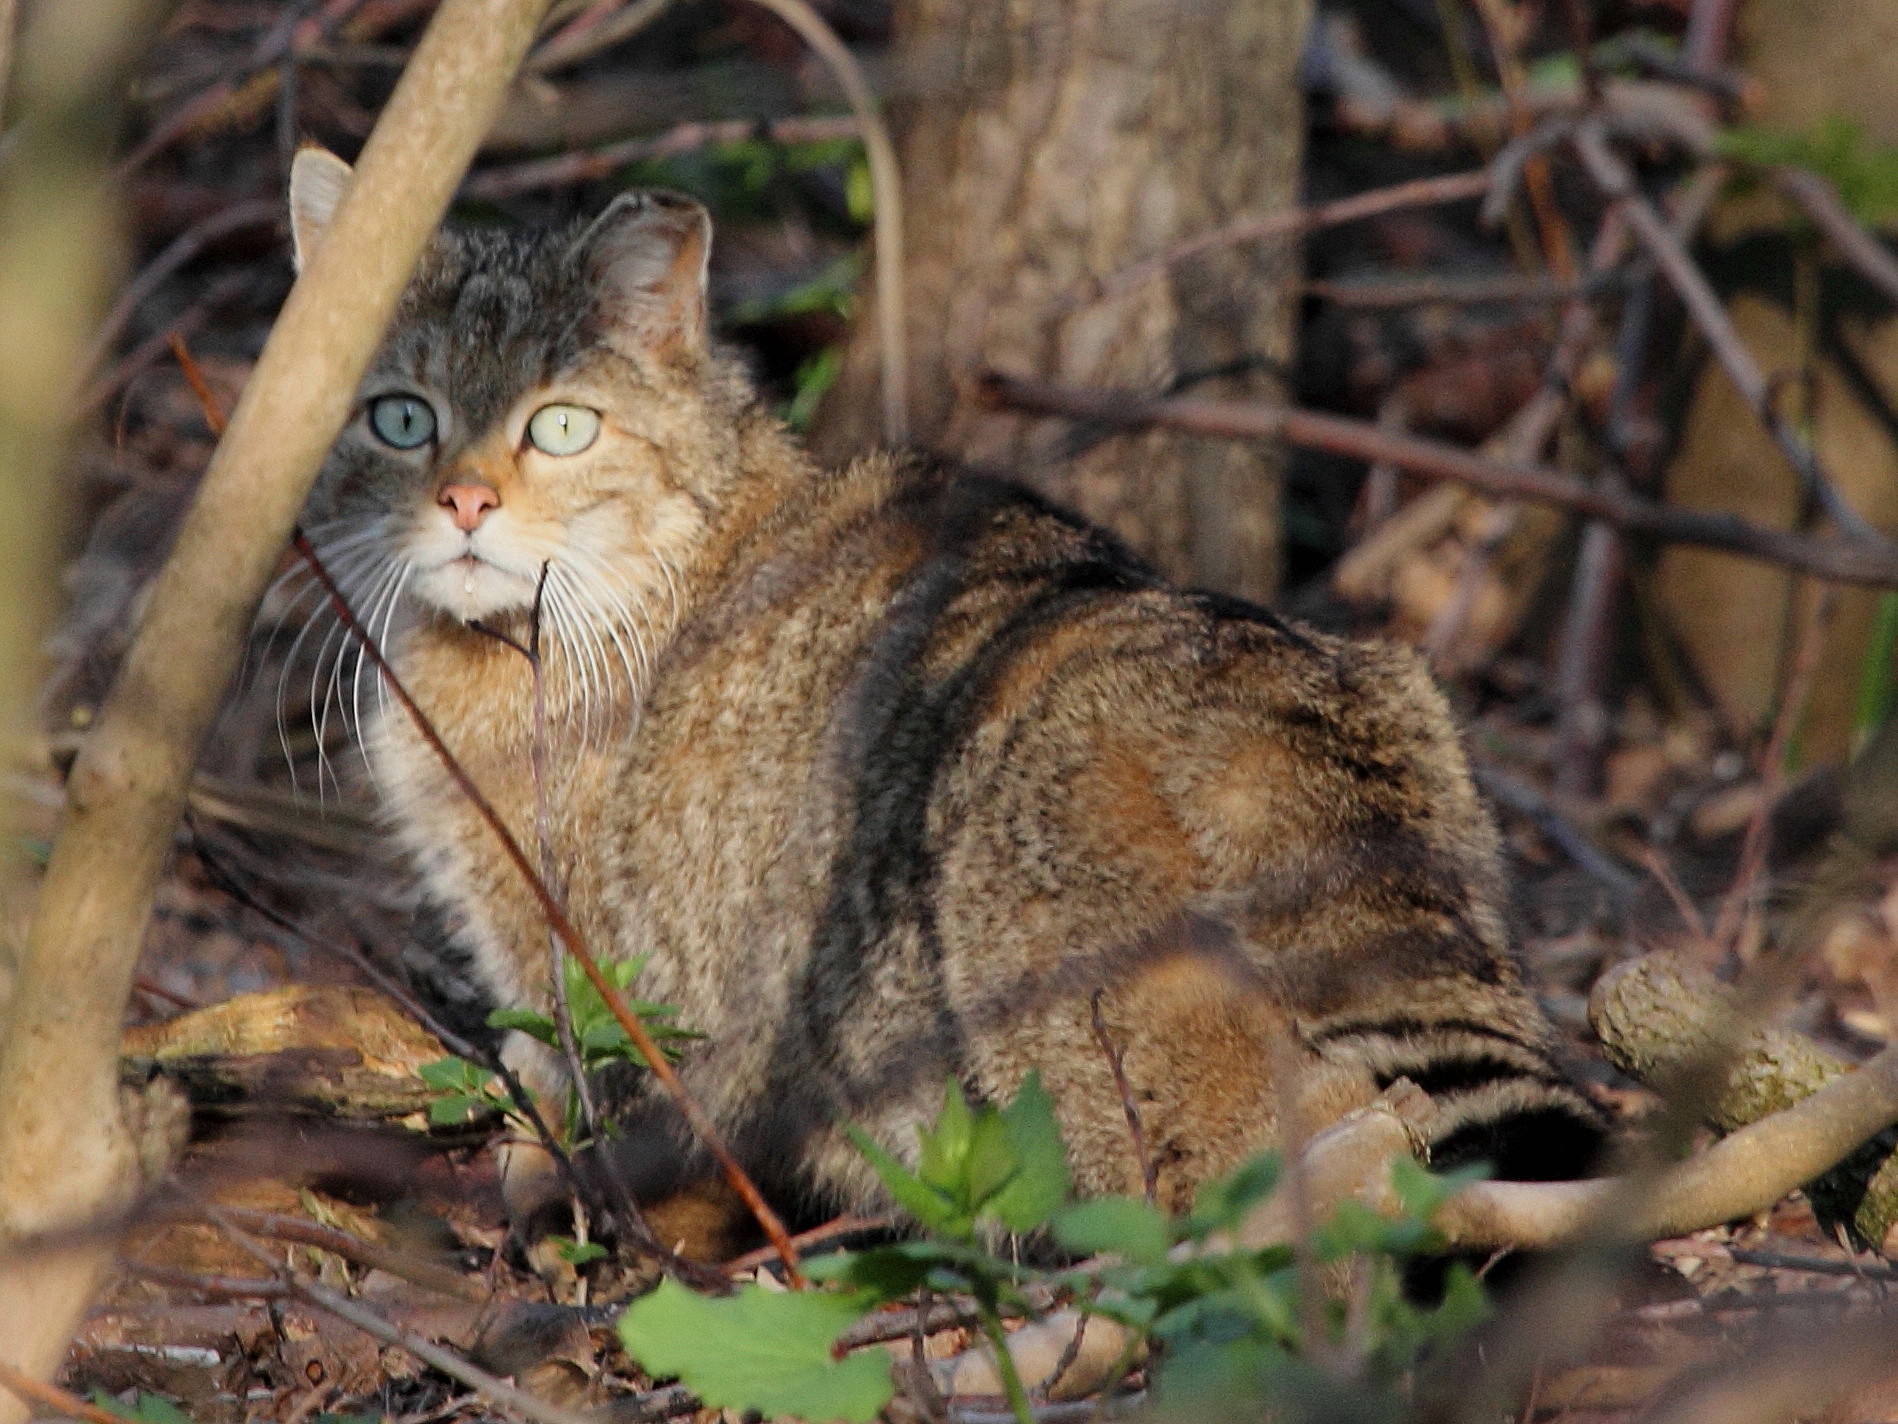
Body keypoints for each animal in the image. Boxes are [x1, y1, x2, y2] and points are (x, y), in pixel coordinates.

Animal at [288, 145, 1600, 1231]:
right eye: (400, 419)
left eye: (559, 426)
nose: (463, 500)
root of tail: (1258, 683)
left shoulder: (571, 965)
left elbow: (562, 1093)